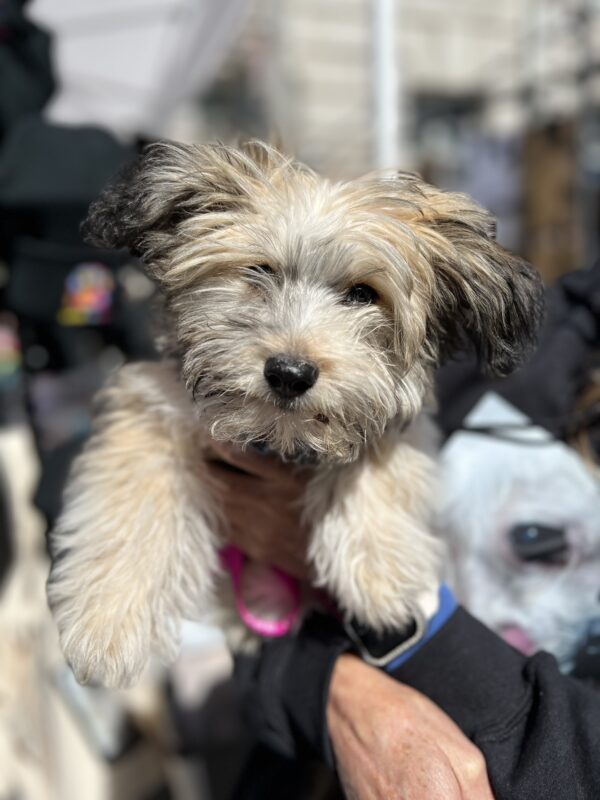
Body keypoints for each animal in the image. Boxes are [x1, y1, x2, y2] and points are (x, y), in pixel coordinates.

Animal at [47, 139, 544, 688]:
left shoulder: (395, 416)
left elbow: (374, 457)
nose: (289, 373)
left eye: (363, 294)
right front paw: (106, 628)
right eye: (259, 271)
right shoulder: (150, 400)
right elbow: (132, 504)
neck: (275, 441)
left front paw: (382, 576)